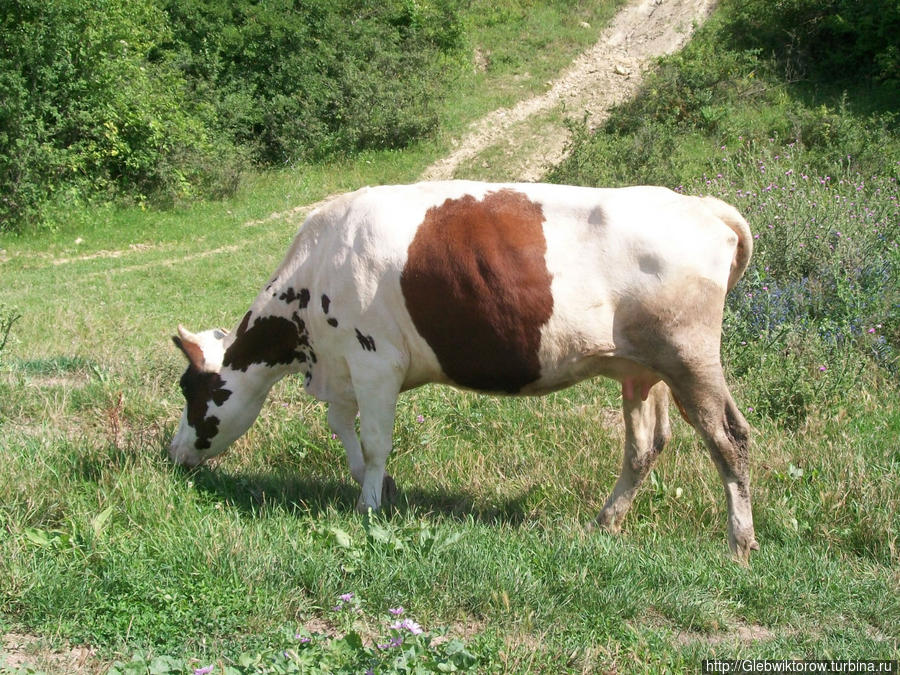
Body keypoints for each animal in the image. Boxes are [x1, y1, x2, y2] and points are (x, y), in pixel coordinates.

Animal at [171, 182, 760, 564]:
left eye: (190, 389)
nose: (172, 454)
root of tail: (702, 206)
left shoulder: (374, 360)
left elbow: (376, 442)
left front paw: (369, 507)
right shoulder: (340, 369)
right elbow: (344, 433)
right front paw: (376, 488)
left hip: (689, 355)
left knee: (729, 436)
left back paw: (740, 544)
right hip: (642, 369)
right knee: (646, 444)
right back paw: (606, 523)